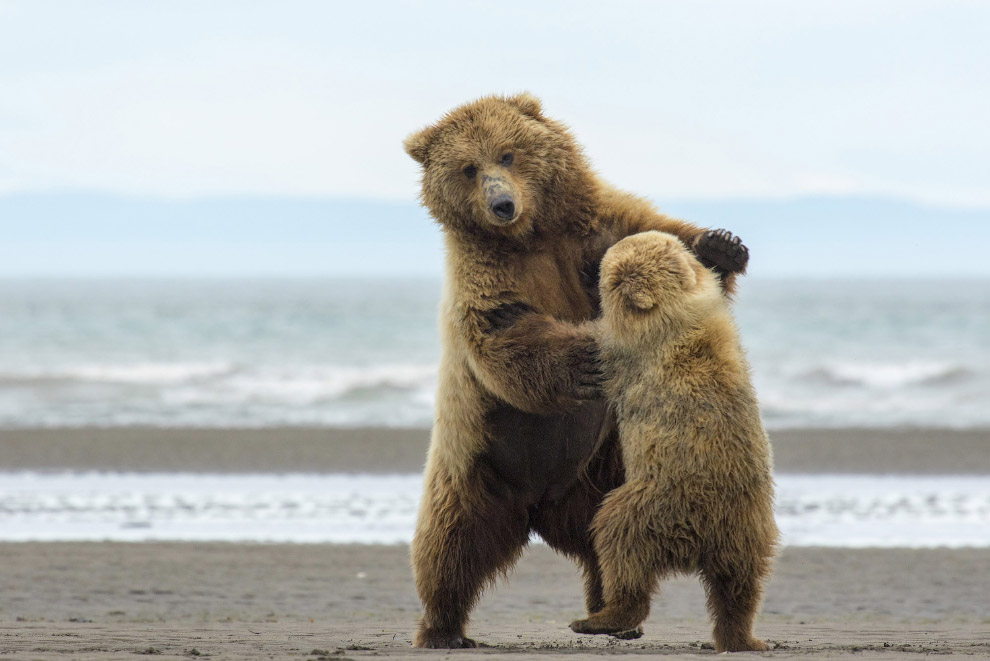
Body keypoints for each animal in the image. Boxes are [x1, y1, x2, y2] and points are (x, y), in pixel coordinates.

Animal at [404, 95, 752, 648]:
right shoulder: (483, 275)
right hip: (474, 459)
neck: (532, 236)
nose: (502, 204)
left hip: (598, 471)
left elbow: (659, 245)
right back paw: (443, 628)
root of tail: (536, 505)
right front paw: (585, 360)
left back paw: (611, 613)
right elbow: (504, 328)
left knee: (599, 541)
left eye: (508, 153)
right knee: (448, 544)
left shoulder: (595, 234)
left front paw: (721, 244)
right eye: (468, 168)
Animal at [568, 231, 780, 648]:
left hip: (656, 501)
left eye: (609, 263)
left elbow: (593, 344)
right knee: (740, 585)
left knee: (619, 540)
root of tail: (698, 539)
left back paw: (600, 618)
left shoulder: (626, 350)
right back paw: (744, 638)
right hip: (748, 526)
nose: (604, 249)